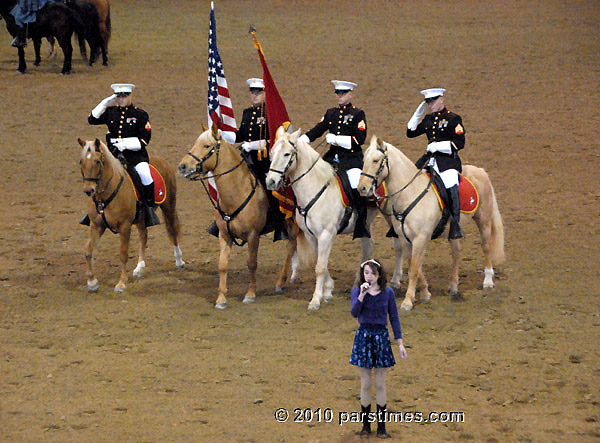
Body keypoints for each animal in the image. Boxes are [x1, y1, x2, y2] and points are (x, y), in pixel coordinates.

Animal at [78, 138, 184, 292]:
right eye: (81, 161)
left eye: (97, 161)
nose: (88, 190)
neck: (105, 195)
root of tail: (162, 160)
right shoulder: (96, 226)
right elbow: (88, 250)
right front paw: (92, 282)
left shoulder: (125, 226)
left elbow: (123, 254)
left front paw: (121, 283)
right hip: (141, 217)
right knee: (143, 236)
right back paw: (140, 268)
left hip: (168, 206)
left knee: (172, 231)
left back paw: (179, 260)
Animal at [178, 123, 300, 306]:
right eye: (194, 144)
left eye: (206, 146)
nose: (182, 167)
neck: (237, 193)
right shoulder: (224, 235)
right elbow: (222, 264)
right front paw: (221, 298)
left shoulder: (253, 236)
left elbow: (252, 263)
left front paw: (250, 294)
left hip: (292, 223)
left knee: (291, 246)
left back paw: (281, 282)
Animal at [264, 126, 400, 310]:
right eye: (272, 152)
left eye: (286, 154)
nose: (270, 182)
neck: (315, 188)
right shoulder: (311, 235)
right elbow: (319, 261)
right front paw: (328, 290)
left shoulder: (325, 235)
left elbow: (320, 267)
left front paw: (315, 300)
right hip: (364, 223)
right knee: (368, 246)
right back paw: (359, 280)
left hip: (391, 217)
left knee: (399, 245)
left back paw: (396, 281)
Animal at [358, 137, 504, 310]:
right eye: (364, 160)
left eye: (375, 160)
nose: (362, 188)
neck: (410, 193)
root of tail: (480, 171)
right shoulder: (405, 238)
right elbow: (415, 265)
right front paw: (425, 293)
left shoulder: (421, 238)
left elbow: (414, 269)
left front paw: (408, 301)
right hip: (453, 230)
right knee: (456, 253)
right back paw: (453, 286)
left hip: (484, 220)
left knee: (486, 247)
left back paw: (487, 281)